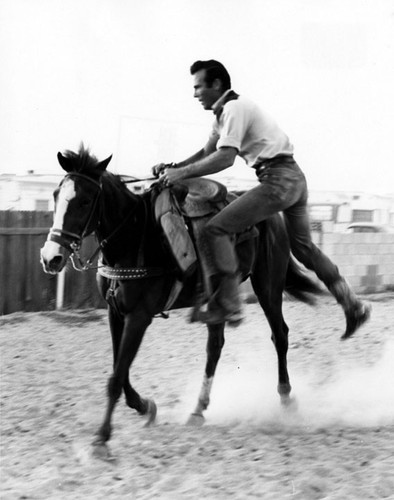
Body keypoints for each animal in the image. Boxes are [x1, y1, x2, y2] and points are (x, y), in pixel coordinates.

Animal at [40, 145, 320, 458]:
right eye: (56, 195)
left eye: (85, 201)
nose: (51, 257)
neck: (135, 236)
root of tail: (275, 219)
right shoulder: (116, 313)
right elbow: (120, 370)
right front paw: (145, 407)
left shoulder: (139, 316)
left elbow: (116, 377)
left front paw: (101, 438)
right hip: (219, 296)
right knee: (215, 347)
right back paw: (198, 410)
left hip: (268, 286)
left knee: (279, 335)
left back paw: (285, 398)